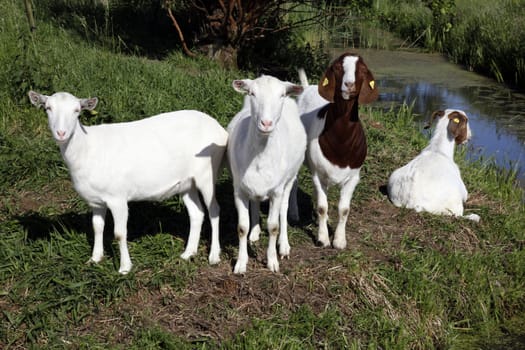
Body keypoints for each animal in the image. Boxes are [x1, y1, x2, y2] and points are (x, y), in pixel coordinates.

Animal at [27, 90, 226, 274]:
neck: (87, 148)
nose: (61, 133)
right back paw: (188, 253)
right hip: (187, 182)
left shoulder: (118, 198)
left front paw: (124, 268)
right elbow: (97, 227)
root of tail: (221, 131)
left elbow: (119, 234)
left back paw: (214, 256)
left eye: (77, 111)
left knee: (214, 210)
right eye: (48, 108)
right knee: (197, 213)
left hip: (207, 173)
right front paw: (95, 259)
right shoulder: (96, 201)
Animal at [227, 76, 304, 274]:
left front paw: (272, 262)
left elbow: (273, 226)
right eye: (252, 93)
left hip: (289, 179)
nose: (266, 123)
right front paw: (241, 263)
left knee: (284, 208)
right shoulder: (239, 190)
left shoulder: (277, 191)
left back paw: (284, 246)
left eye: (282, 95)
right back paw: (254, 233)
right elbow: (242, 227)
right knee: (255, 202)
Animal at [294, 51, 376, 249]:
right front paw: (322, 238)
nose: (349, 84)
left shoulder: (353, 178)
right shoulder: (317, 174)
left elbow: (344, 210)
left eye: (363, 69)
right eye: (338, 67)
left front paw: (339, 240)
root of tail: (307, 88)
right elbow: (322, 207)